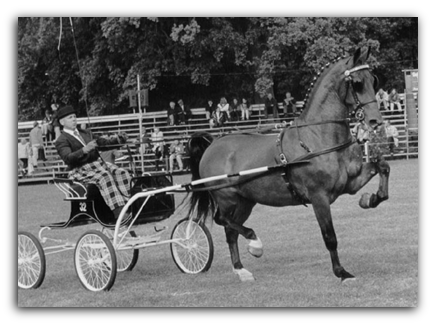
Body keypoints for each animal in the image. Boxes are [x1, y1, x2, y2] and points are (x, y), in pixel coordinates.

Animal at [187, 47, 392, 282]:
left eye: (373, 80)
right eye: (357, 83)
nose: (375, 121)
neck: (317, 137)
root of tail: (213, 144)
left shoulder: (349, 183)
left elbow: (383, 167)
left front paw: (370, 199)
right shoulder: (319, 197)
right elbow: (329, 236)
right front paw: (341, 272)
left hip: (245, 202)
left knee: (231, 232)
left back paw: (241, 269)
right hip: (226, 198)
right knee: (222, 220)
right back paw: (254, 243)